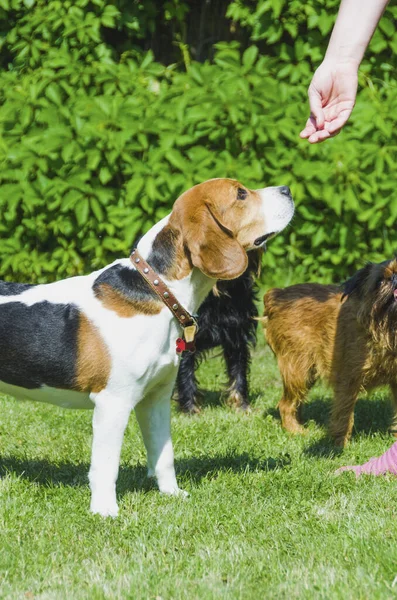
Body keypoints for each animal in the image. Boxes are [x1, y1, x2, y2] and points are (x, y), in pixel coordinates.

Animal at [262, 258, 396, 446]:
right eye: (380, 281)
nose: (395, 279)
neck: (387, 328)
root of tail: (276, 296)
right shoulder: (347, 380)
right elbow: (343, 414)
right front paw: (339, 445)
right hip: (299, 369)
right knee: (285, 405)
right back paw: (296, 431)